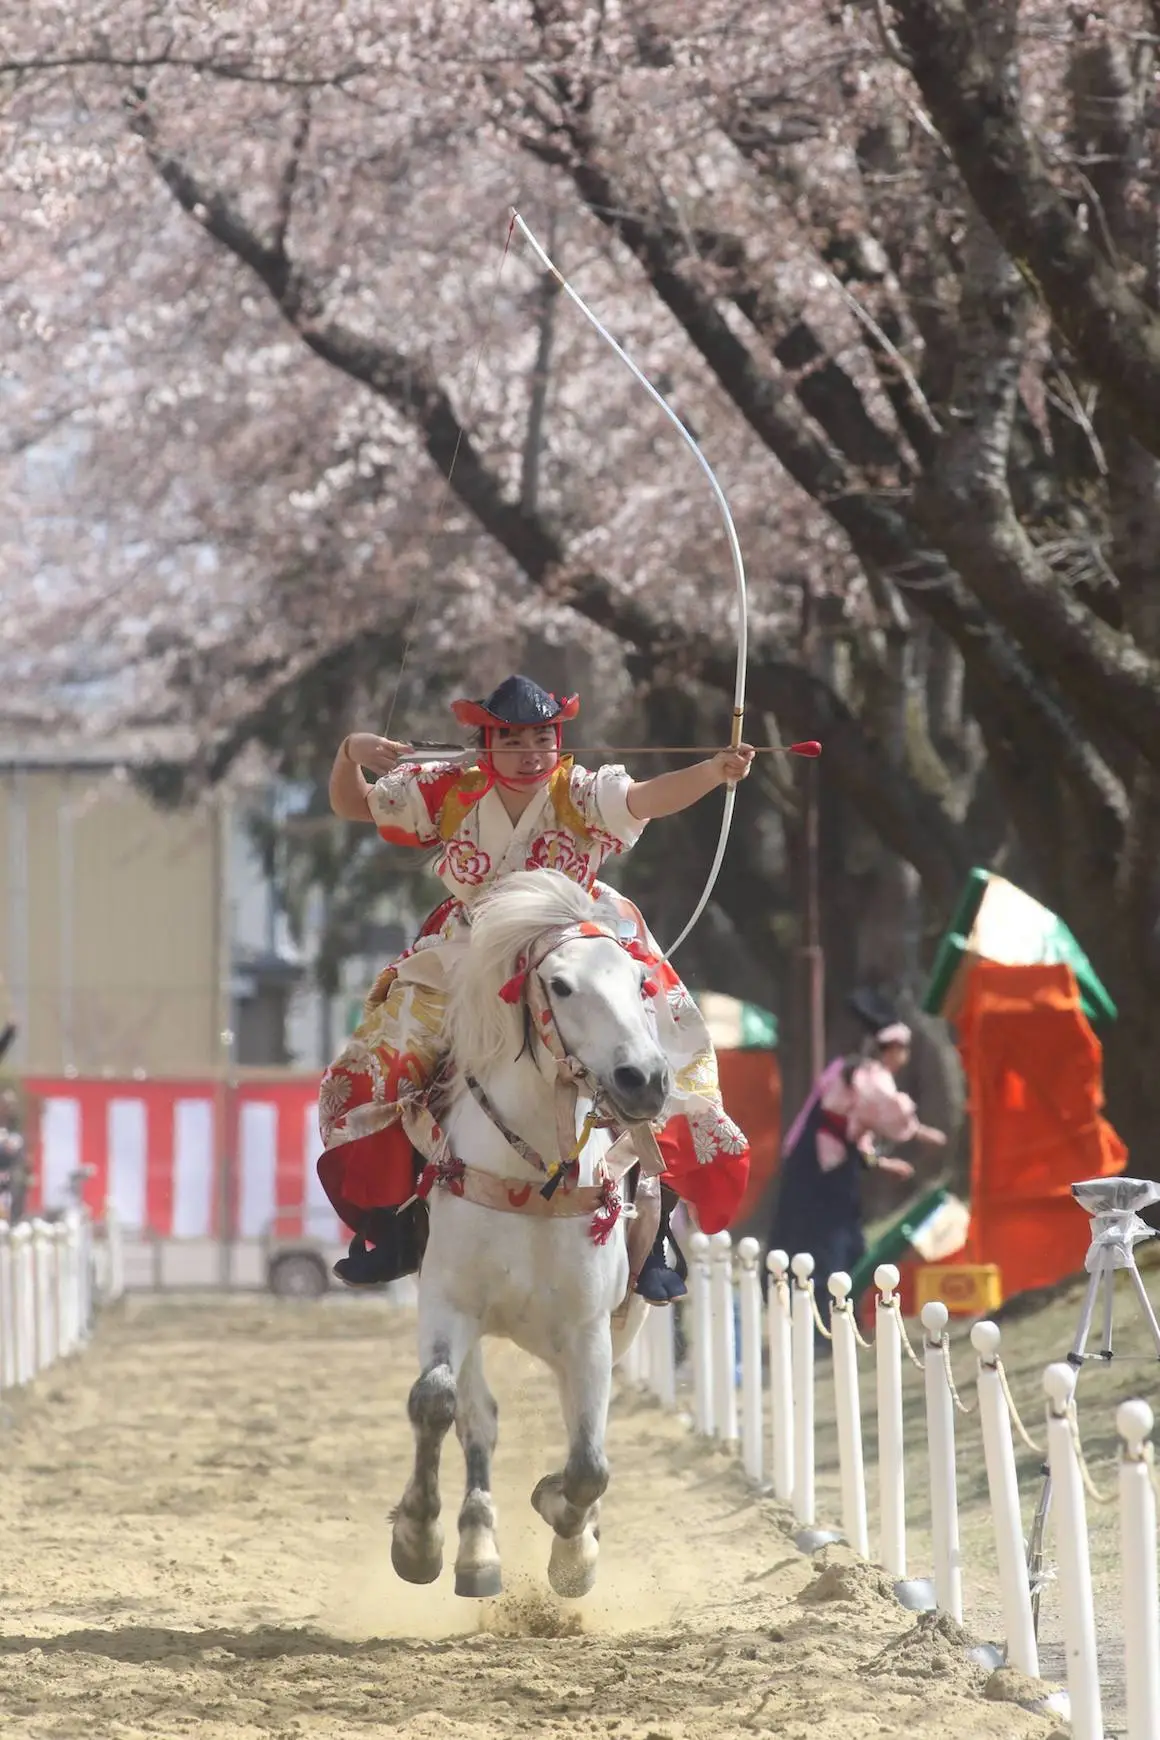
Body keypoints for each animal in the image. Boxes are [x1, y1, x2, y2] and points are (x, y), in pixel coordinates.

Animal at [387, 870, 671, 1600]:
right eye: (561, 986)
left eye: (641, 983)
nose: (645, 1080)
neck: (529, 1177)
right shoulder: (448, 1302)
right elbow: (436, 1402)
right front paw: (418, 1538)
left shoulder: (588, 1329)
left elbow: (589, 1462)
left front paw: (570, 1546)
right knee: (477, 1418)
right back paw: (477, 1549)